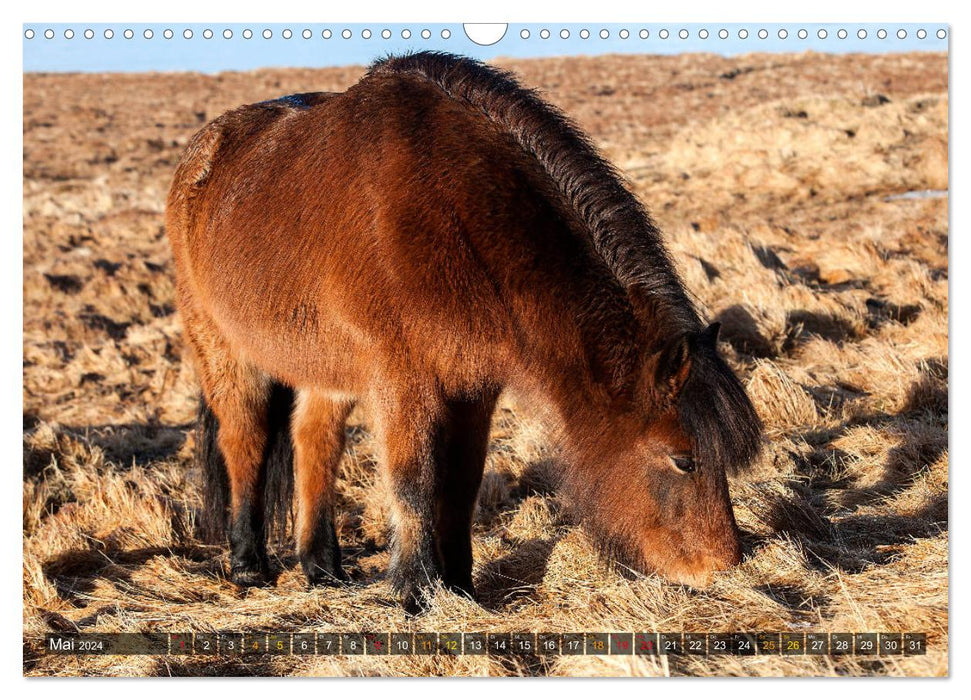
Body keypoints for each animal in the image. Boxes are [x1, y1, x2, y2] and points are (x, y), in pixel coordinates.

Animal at [165, 52, 760, 608]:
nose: (724, 565)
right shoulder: (404, 383)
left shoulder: (474, 385)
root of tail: (205, 150)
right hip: (221, 348)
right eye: (683, 459)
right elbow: (414, 481)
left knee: (315, 441)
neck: (457, 210)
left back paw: (323, 566)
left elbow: (462, 480)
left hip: (322, 364)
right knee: (245, 439)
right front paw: (415, 590)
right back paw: (248, 563)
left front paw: (459, 585)